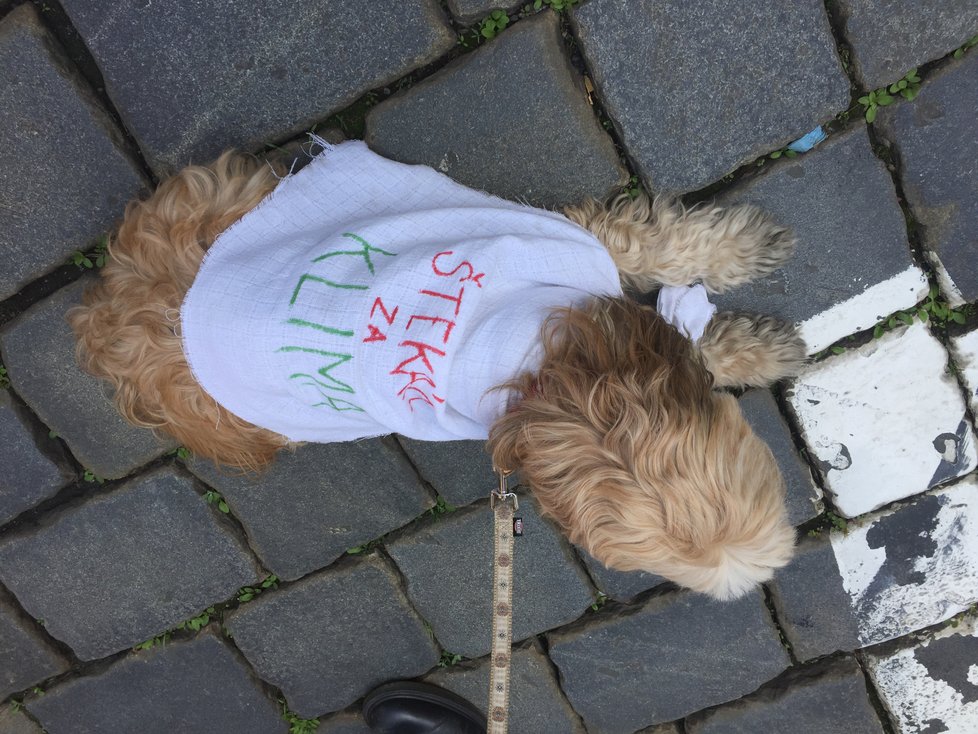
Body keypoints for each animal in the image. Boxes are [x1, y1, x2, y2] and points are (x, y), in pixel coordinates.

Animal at [66, 144, 800, 604]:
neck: (539, 370)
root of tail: (106, 317)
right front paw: (752, 346)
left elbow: (656, 249)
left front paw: (737, 274)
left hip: (220, 198)